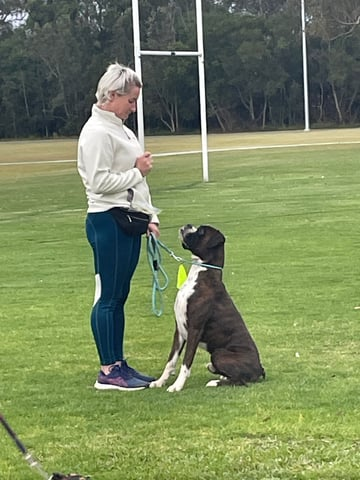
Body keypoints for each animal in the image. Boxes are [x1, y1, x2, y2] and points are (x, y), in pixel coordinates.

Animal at [149, 223, 264, 392]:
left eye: (201, 231)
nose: (188, 225)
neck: (202, 273)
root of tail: (260, 368)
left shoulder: (194, 329)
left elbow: (186, 363)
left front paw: (177, 386)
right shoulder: (179, 331)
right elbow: (171, 361)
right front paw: (160, 381)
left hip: (218, 354)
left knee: (241, 381)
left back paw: (215, 382)